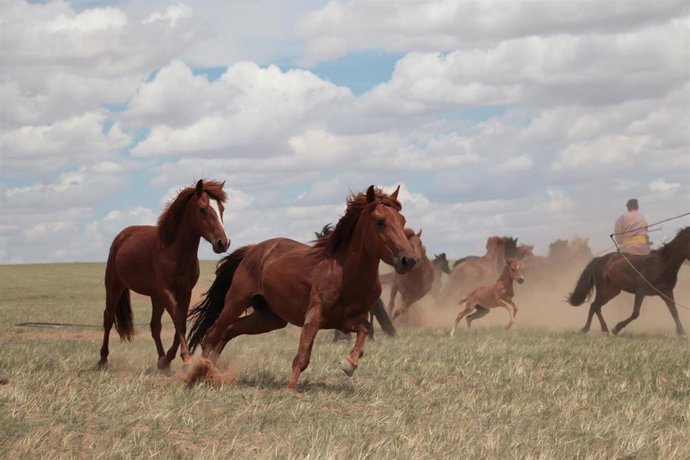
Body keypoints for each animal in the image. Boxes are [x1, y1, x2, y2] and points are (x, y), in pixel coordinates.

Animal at [98, 179, 230, 370]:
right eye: (202, 209)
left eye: (222, 209)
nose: (223, 243)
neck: (174, 251)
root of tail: (122, 236)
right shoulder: (167, 291)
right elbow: (178, 321)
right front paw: (186, 359)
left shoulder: (185, 291)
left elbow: (180, 321)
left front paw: (169, 358)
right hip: (114, 286)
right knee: (108, 319)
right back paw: (103, 359)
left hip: (155, 296)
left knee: (155, 326)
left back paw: (161, 361)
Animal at [186, 185, 419, 392]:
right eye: (380, 222)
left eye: (402, 221)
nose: (409, 260)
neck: (345, 273)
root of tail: (253, 249)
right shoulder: (314, 315)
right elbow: (303, 354)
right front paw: (291, 389)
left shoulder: (347, 320)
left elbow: (365, 330)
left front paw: (349, 364)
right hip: (236, 301)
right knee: (212, 334)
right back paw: (200, 373)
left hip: (270, 319)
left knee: (229, 330)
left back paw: (213, 372)